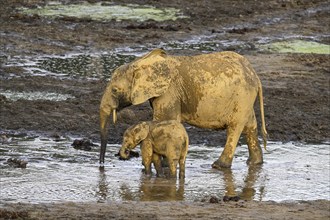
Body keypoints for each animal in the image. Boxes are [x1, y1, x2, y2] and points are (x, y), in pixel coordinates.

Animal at [99, 49, 266, 168]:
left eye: (114, 90)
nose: (101, 164)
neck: (140, 63)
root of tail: (255, 75)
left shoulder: (169, 92)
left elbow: (165, 119)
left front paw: (164, 164)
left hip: (242, 97)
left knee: (235, 127)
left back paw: (218, 166)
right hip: (245, 98)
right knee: (250, 125)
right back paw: (254, 163)